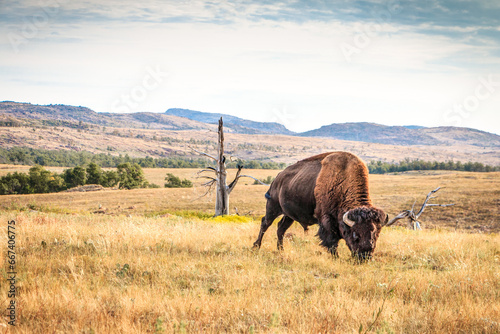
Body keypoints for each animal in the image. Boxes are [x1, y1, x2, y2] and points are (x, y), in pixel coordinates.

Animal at [254, 151, 386, 260]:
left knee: (281, 228)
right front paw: (336, 257)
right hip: (273, 207)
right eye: (355, 234)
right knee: (265, 223)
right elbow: (331, 241)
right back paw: (256, 246)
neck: (343, 181)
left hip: (288, 215)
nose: (365, 257)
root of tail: (277, 178)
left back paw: (280, 250)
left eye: (376, 234)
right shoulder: (326, 220)